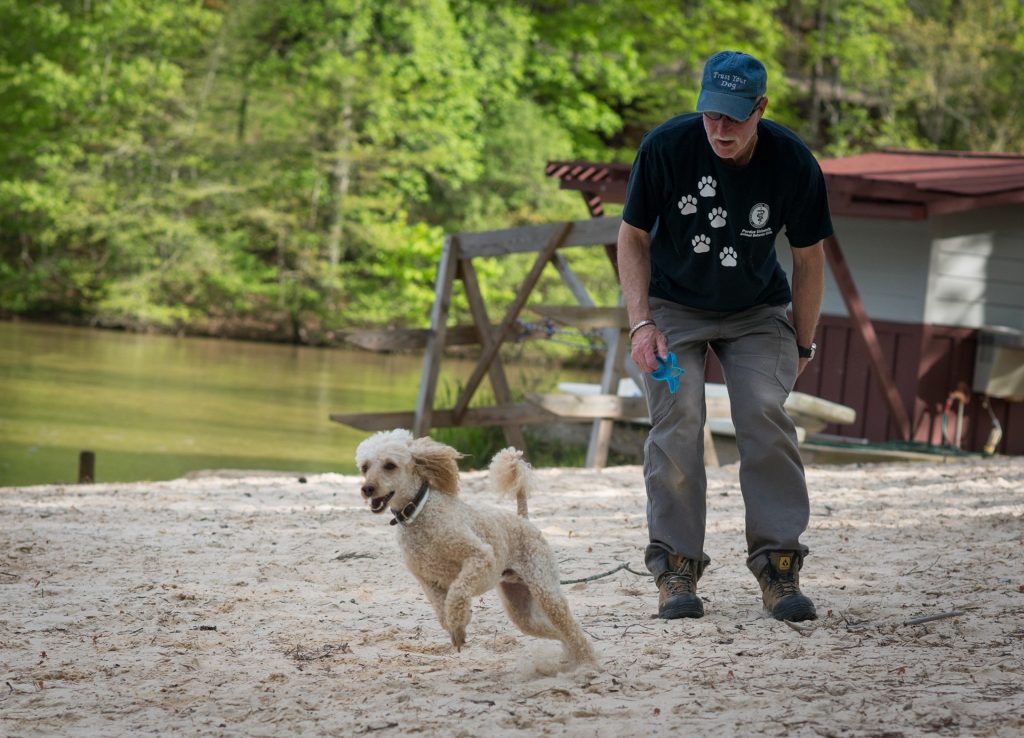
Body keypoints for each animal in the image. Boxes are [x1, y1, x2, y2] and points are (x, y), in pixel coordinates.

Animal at [358, 429, 598, 663]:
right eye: (365, 467)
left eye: (390, 465)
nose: (367, 489)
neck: (418, 512)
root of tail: (523, 519)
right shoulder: (428, 580)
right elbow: (441, 609)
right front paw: (456, 627)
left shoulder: (480, 557)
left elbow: (457, 592)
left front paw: (458, 623)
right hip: (520, 609)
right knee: (559, 633)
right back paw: (571, 658)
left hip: (545, 589)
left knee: (572, 629)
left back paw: (588, 664)